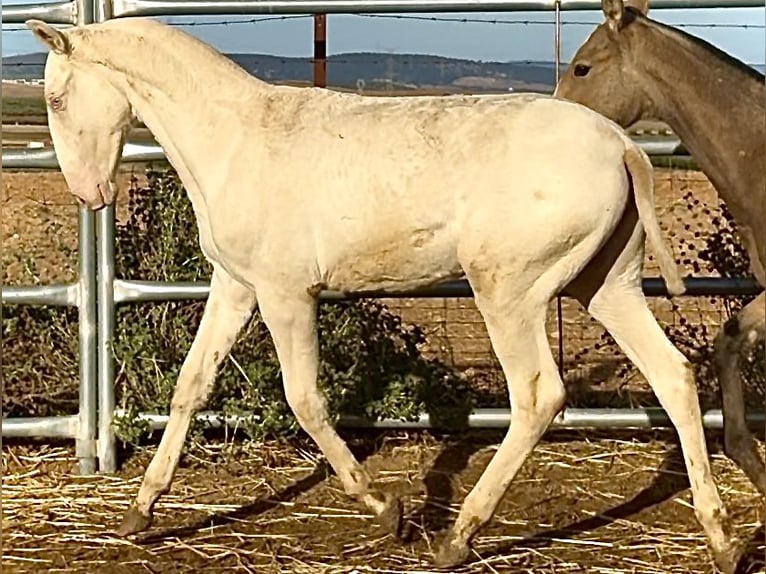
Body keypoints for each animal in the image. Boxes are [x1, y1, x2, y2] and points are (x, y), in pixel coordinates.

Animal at [27, 17, 736, 570]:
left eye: (56, 99)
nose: (90, 194)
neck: (237, 140)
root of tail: (623, 145)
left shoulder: (287, 294)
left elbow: (306, 399)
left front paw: (385, 508)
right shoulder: (236, 286)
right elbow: (191, 385)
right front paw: (140, 513)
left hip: (510, 291)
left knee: (539, 396)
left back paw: (458, 536)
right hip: (608, 286)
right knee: (673, 377)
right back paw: (721, 538)